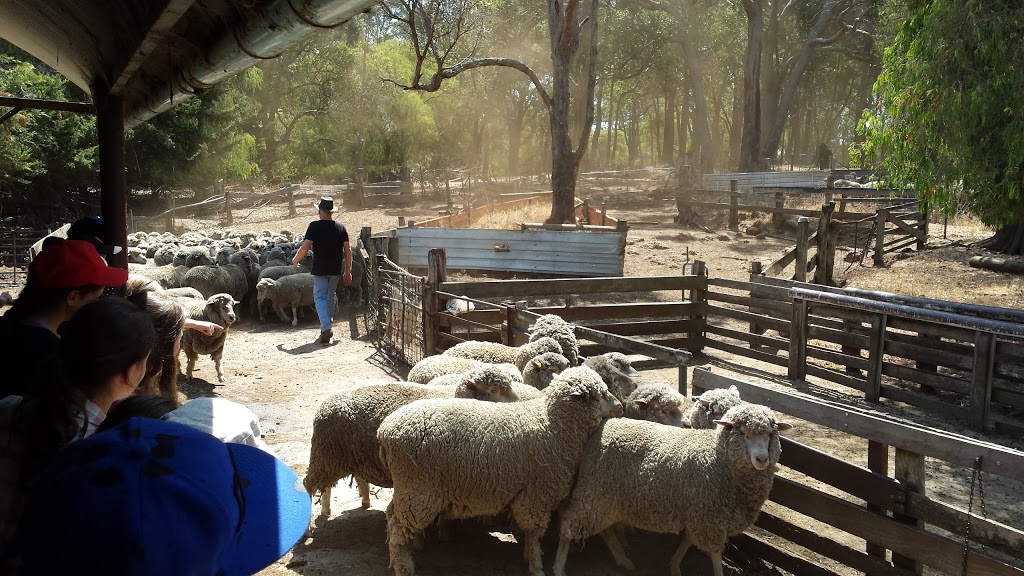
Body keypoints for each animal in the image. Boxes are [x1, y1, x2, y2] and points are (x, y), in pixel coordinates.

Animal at [299, 360, 516, 512]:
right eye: (494, 389)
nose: (517, 402)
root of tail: (325, 406)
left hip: (343, 456)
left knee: (333, 484)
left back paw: (342, 506)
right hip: (325, 453)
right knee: (309, 484)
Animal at [374, 362, 614, 573]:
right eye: (600, 394)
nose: (618, 405)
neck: (554, 424)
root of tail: (384, 431)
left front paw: (528, 556)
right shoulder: (536, 496)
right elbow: (534, 534)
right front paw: (536, 565)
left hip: (408, 487)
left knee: (391, 513)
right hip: (419, 490)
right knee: (397, 530)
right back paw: (404, 567)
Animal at [552, 401, 790, 573]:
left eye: (770, 434)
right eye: (744, 434)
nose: (762, 459)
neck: (718, 458)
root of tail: (603, 425)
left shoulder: (698, 514)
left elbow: (688, 540)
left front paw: (674, 565)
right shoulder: (709, 518)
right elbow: (714, 554)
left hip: (603, 498)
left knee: (605, 530)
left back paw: (623, 559)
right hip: (593, 493)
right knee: (568, 527)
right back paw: (558, 567)